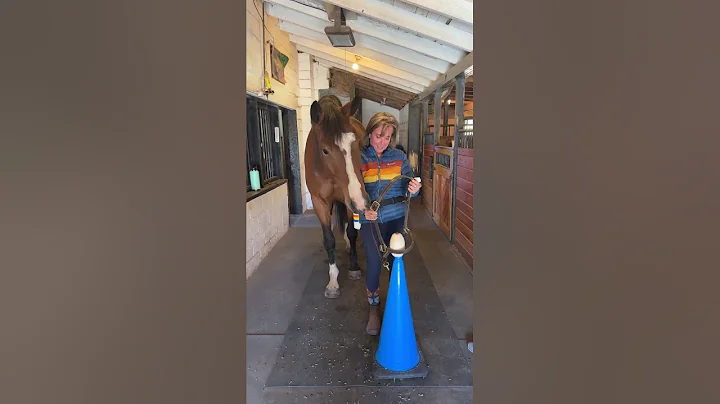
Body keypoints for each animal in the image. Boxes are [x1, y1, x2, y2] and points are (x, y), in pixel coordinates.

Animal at [304, 93, 372, 298]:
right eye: (325, 150)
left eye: (357, 143)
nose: (361, 201)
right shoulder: (320, 202)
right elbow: (329, 240)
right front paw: (333, 281)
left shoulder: (350, 201)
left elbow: (351, 232)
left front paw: (354, 268)